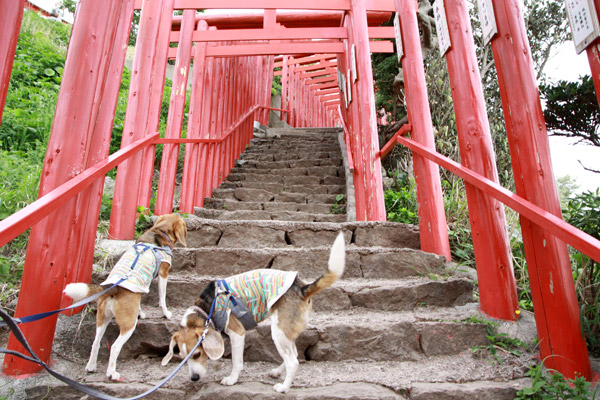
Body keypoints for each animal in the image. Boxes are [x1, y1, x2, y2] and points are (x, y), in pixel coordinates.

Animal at [63, 214, 185, 380]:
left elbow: (141, 301)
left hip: (102, 318)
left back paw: (91, 366)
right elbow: (162, 297)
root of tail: (112, 288)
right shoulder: (163, 273)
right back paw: (112, 373)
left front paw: (142, 313)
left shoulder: (140, 289)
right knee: (115, 347)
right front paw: (166, 314)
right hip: (128, 325)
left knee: (96, 342)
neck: (158, 232)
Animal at [162, 233, 344, 392]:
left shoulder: (237, 333)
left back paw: (284, 388)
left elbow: (237, 362)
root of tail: (302, 288)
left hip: (278, 332)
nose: (194, 378)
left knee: (293, 362)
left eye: (197, 354)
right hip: (286, 332)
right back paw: (277, 372)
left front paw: (232, 379)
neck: (207, 309)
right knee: (295, 354)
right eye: (182, 357)